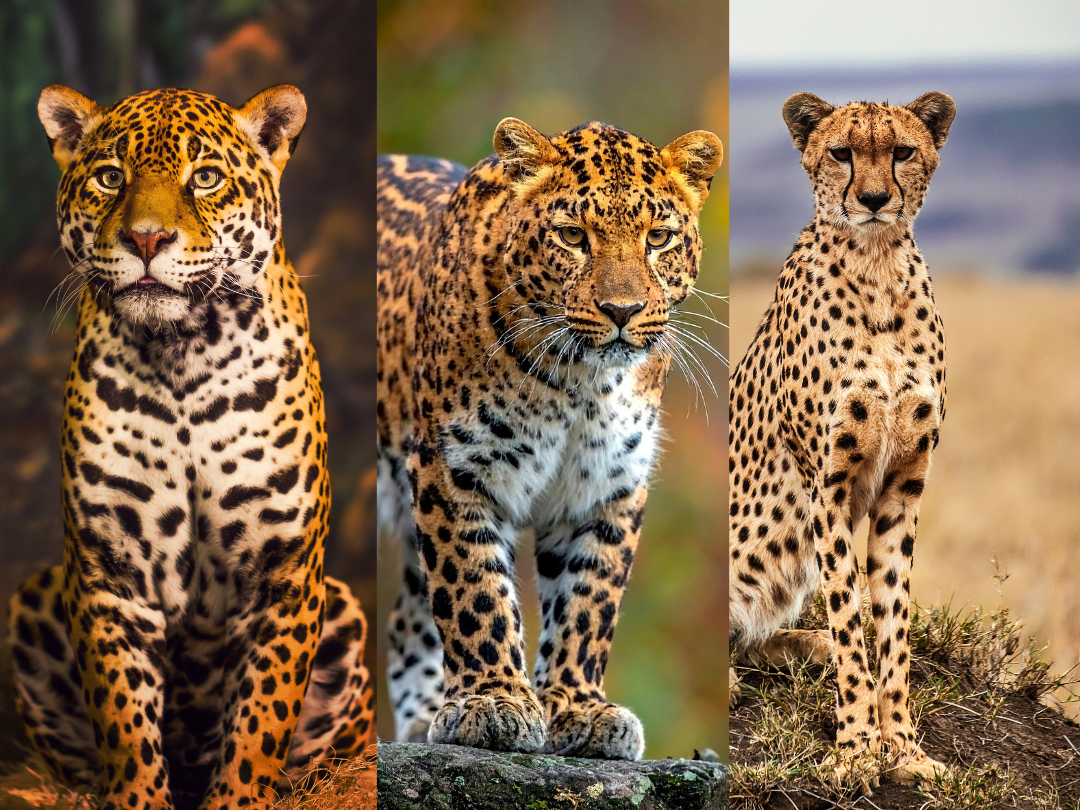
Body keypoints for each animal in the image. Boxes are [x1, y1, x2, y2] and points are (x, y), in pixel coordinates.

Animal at [5, 84, 375, 810]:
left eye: (204, 178)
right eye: (109, 177)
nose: (146, 238)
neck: (183, 355)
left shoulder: (284, 575)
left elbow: (260, 724)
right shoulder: (108, 573)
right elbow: (124, 725)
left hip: (344, 608)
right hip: (35, 598)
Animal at [377, 118, 723, 759]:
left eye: (658, 238)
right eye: (572, 236)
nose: (622, 310)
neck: (581, 381)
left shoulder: (608, 487)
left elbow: (588, 601)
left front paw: (578, 707)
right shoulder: (453, 469)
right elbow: (474, 589)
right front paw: (493, 700)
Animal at [728, 91, 956, 788]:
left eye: (903, 152)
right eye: (841, 153)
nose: (876, 198)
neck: (877, 265)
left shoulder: (903, 489)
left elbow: (891, 623)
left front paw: (903, 748)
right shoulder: (825, 488)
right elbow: (854, 618)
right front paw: (857, 749)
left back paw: (805, 645)